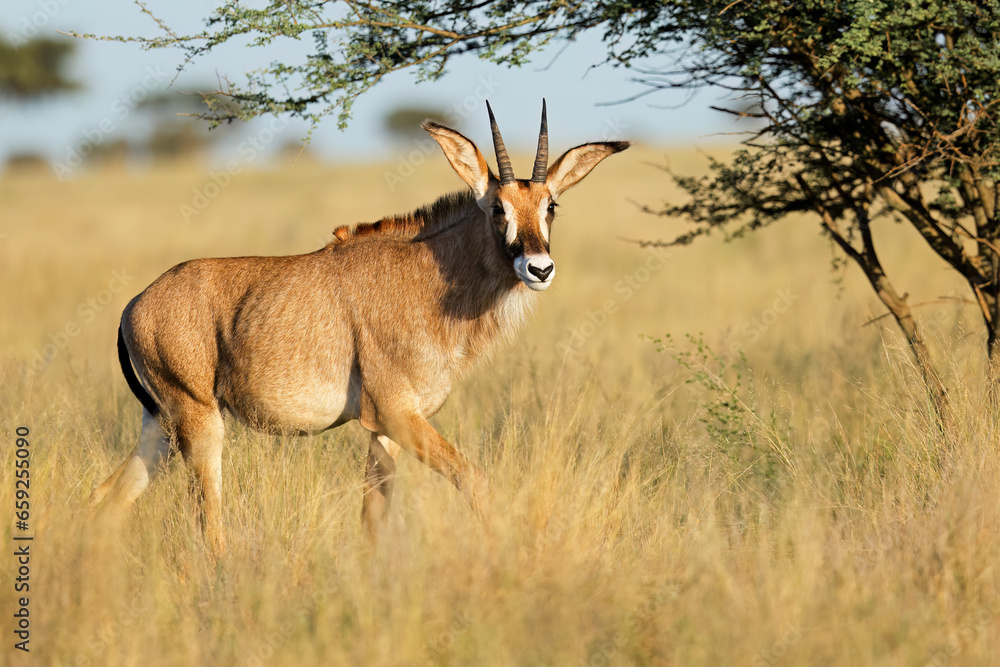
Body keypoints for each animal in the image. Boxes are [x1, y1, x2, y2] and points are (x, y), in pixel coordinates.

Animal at [90, 101, 629, 553]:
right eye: (498, 208)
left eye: (550, 206)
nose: (539, 267)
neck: (428, 275)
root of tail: (136, 305)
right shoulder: (396, 414)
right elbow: (474, 479)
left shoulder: (388, 430)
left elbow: (372, 517)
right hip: (198, 421)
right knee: (208, 522)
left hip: (162, 426)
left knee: (107, 497)